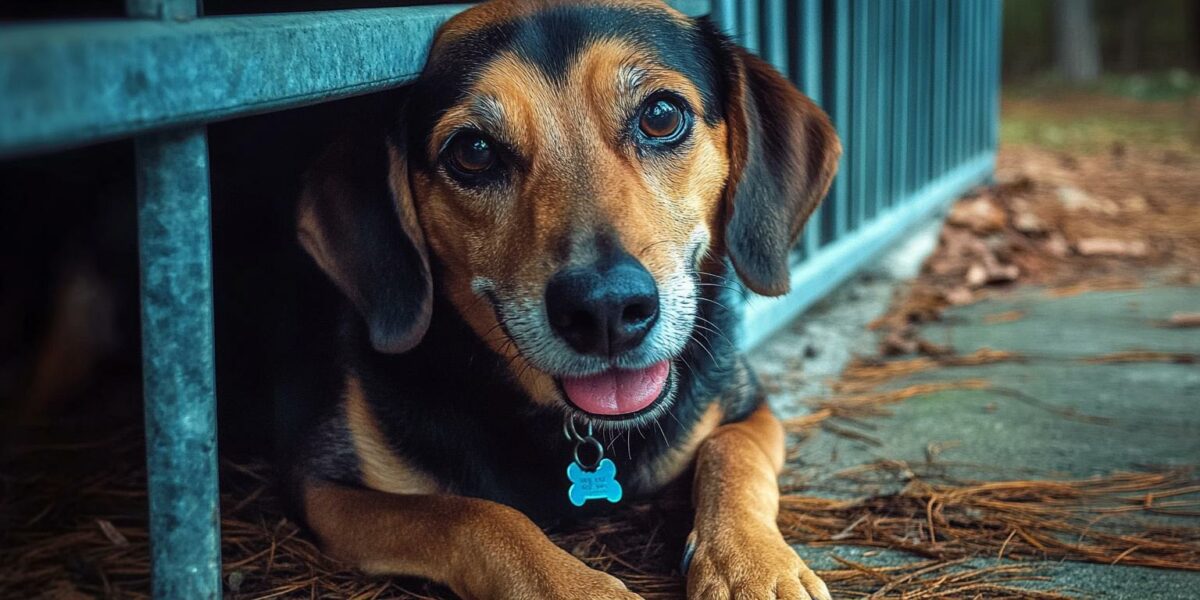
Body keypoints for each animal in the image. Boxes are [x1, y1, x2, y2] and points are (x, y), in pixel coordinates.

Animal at [285, 2, 840, 597]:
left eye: (661, 116)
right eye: (473, 152)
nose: (606, 311)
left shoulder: (750, 408)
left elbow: (730, 453)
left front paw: (750, 566)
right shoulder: (326, 489)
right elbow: (474, 514)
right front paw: (578, 586)